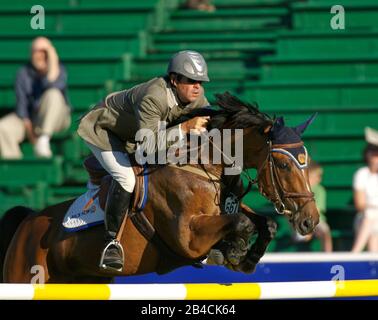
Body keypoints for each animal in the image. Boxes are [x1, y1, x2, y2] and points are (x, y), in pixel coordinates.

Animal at [0, 92, 318, 282]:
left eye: (306, 161)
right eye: (284, 165)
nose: (310, 220)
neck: (206, 166)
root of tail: (27, 222)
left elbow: (263, 223)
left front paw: (246, 258)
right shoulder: (187, 236)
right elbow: (241, 222)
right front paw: (233, 250)